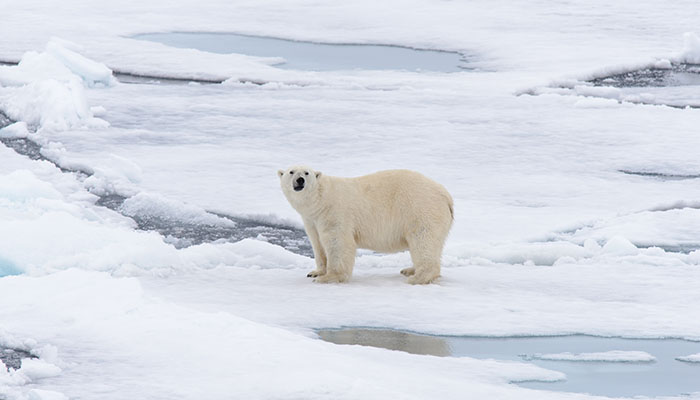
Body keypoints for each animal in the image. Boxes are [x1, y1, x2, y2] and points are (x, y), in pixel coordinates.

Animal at [278, 166, 454, 284]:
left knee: (423, 240)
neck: (321, 200)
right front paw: (315, 272)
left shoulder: (335, 212)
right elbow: (317, 243)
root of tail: (446, 195)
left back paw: (416, 277)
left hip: (421, 209)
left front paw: (329, 277)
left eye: (306, 173)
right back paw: (409, 270)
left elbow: (338, 242)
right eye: (291, 172)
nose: (300, 180)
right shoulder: (311, 220)